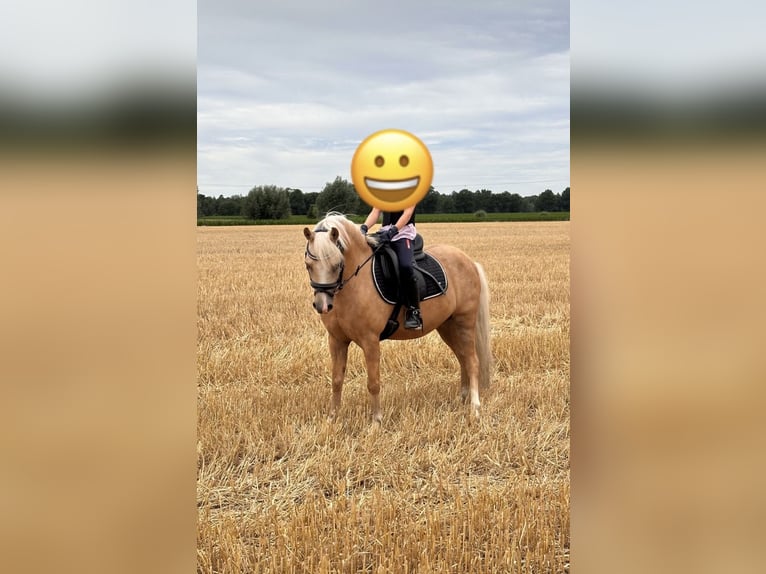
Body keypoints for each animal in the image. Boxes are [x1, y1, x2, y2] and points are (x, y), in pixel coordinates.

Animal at [303, 213, 491, 423]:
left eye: (337, 264)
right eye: (308, 265)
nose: (323, 305)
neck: (355, 284)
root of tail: (469, 261)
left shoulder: (370, 341)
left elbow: (373, 382)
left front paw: (376, 421)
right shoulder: (336, 340)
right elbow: (336, 380)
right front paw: (332, 419)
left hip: (464, 322)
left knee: (472, 361)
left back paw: (474, 407)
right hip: (447, 326)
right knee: (463, 358)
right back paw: (463, 398)